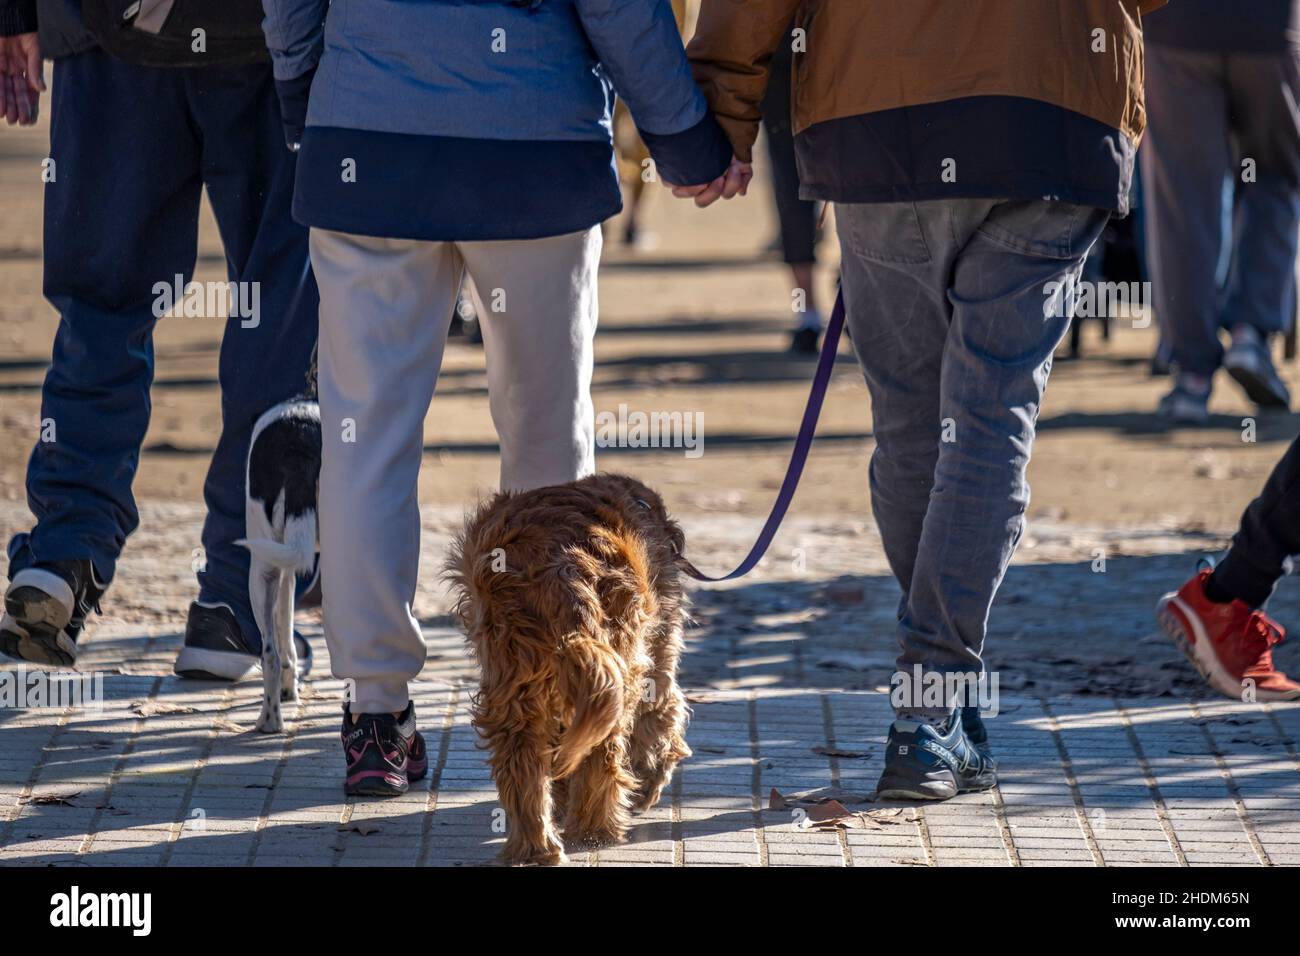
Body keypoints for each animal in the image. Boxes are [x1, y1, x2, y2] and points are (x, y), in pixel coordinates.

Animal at [447, 473, 691, 868]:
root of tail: (563, 568)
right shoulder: (657, 647)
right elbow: (661, 713)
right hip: (620, 664)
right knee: (604, 752)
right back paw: (596, 830)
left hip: (514, 681)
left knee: (521, 757)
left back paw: (535, 846)